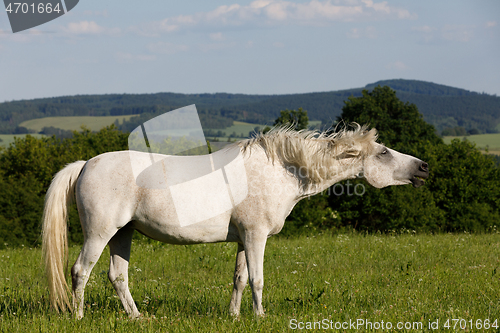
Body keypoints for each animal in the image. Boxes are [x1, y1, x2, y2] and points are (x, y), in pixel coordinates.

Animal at [41, 124, 428, 316]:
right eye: (383, 152)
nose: (423, 167)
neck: (281, 170)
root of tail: (86, 165)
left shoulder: (243, 238)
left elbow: (240, 279)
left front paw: (235, 316)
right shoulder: (256, 235)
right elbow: (257, 279)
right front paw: (260, 317)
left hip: (123, 234)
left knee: (117, 277)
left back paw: (137, 317)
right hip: (100, 232)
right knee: (80, 271)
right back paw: (78, 317)